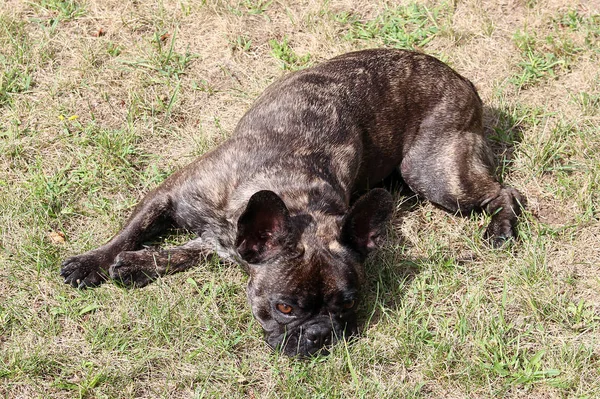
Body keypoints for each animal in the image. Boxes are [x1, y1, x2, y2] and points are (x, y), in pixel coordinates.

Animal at [58, 48, 524, 358]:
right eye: (284, 308)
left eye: (348, 302)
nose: (320, 334)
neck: (295, 199)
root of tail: (463, 81)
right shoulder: (172, 197)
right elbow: (137, 234)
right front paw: (101, 262)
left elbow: (181, 250)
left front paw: (130, 264)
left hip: (435, 173)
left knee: (505, 191)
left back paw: (501, 228)